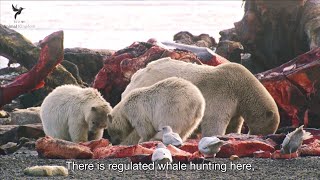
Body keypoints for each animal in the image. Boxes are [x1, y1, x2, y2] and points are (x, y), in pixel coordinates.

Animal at [122, 57, 280, 136]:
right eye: (267, 129)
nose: (258, 135)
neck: (241, 85)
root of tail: (136, 75)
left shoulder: (237, 105)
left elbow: (234, 123)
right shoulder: (222, 93)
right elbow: (214, 120)